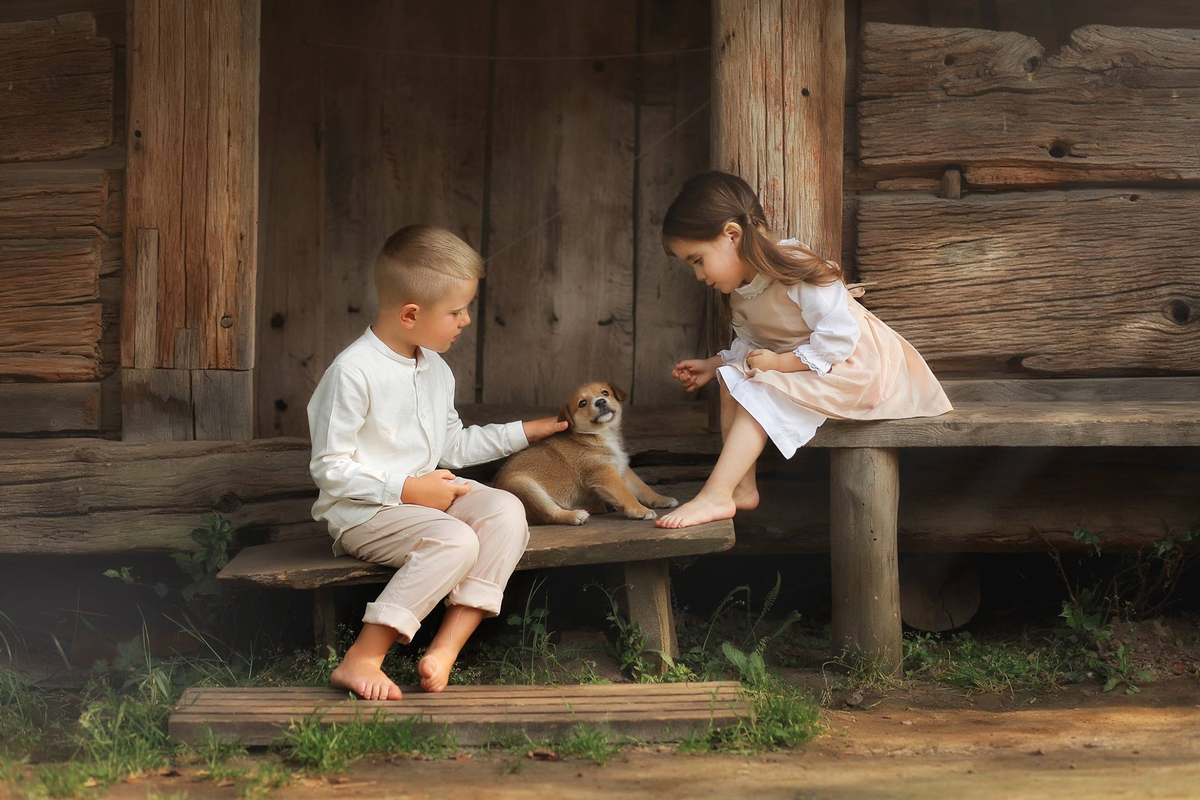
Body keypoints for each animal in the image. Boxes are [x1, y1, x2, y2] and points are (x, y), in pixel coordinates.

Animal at [496, 381, 681, 525]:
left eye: (605, 392)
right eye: (582, 403)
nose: (600, 402)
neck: (602, 435)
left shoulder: (622, 469)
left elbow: (642, 487)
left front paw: (661, 499)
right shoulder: (605, 473)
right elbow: (625, 493)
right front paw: (640, 510)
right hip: (525, 487)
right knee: (549, 513)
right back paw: (576, 515)